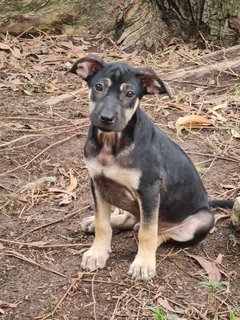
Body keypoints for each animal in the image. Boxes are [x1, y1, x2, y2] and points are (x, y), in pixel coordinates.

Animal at [68, 55, 232, 280]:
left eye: (130, 94)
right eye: (98, 87)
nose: (106, 118)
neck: (111, 144)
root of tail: (207, 204)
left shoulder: (149, 190)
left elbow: (147, 232)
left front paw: (143, 264)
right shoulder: (98, 183)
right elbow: (103, 224)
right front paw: (97, 252)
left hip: (203, 219)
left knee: (157, 233)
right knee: (131, 218)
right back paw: (95, 222)